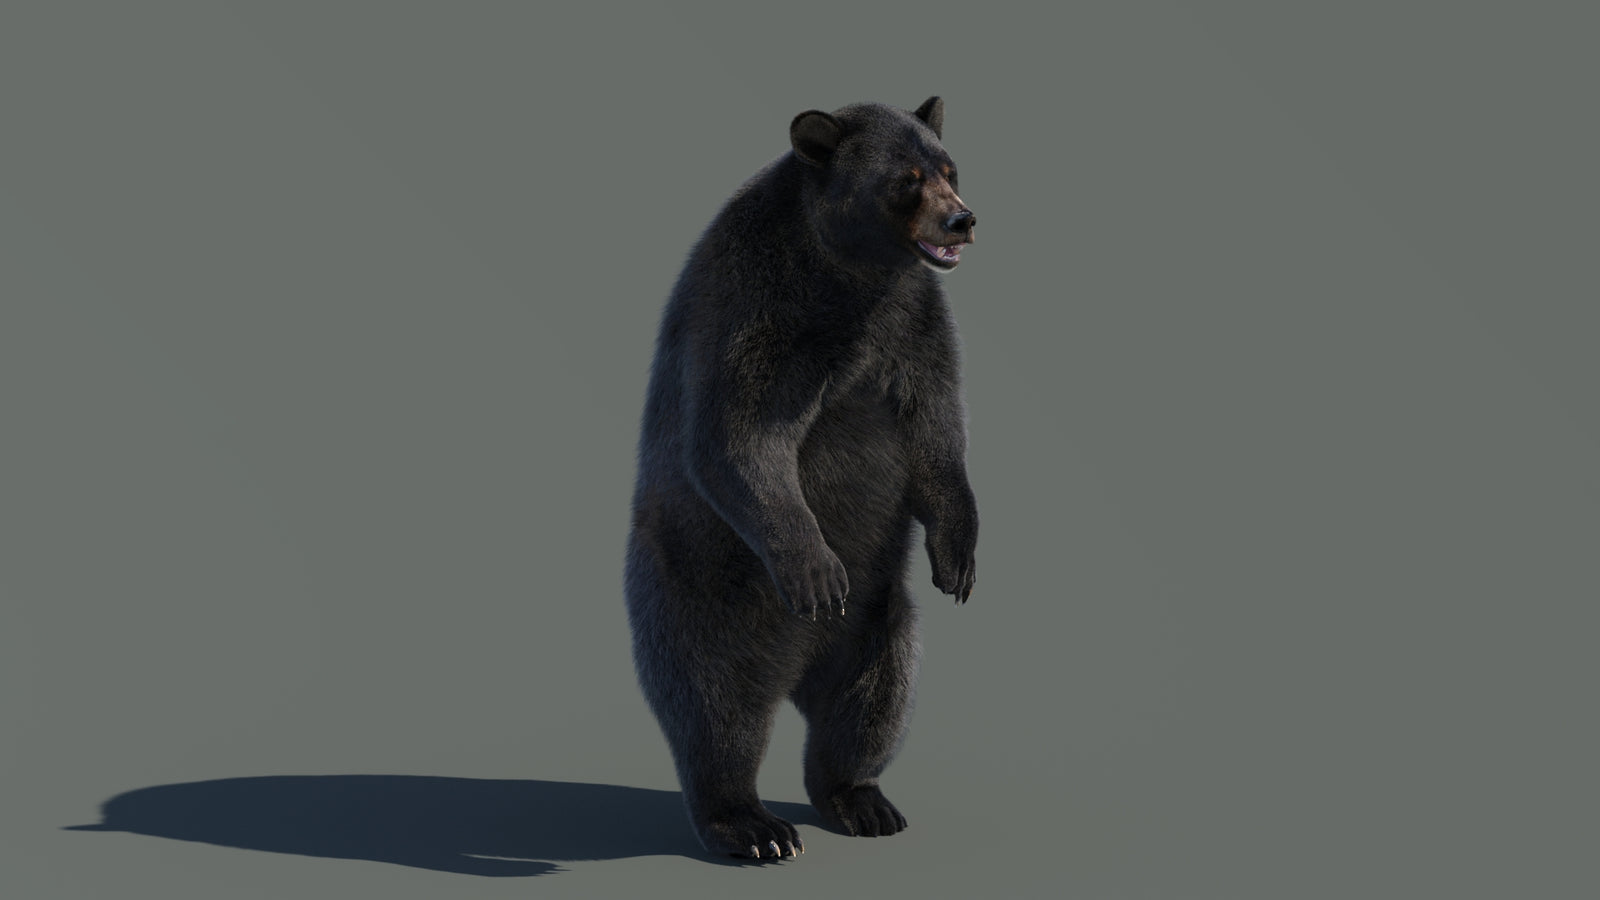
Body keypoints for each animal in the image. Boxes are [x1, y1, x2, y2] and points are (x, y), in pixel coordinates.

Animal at [624, 96, 979, 860]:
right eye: (906, 180)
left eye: (949, 167)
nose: (964, 219)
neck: (849, 272)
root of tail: (794, 672)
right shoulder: (761, 308)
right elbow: (738, 434)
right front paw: (818, 570)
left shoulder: (912, 321)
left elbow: (937, 426)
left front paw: (958, 559)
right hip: (700, 594)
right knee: (715, 708)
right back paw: (752, 825)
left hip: (880, 619)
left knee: (874, 699)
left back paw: (862, 800)